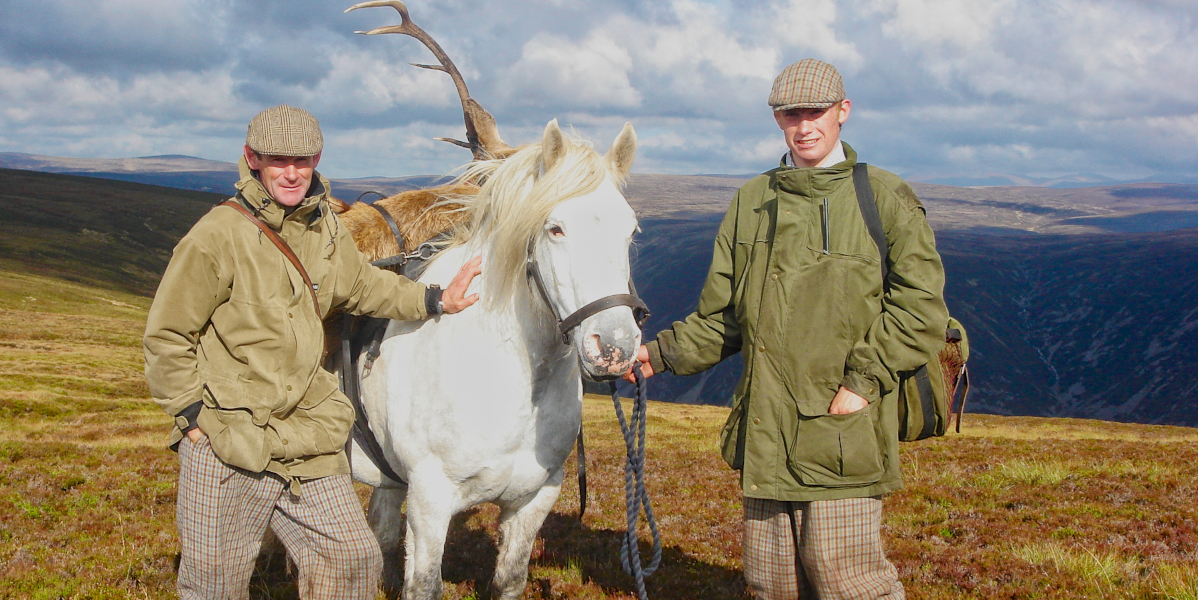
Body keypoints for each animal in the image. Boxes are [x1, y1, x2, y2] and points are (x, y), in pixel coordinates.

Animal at [346, 119, 643, 600]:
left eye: (630, 231)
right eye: (555, 229)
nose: (614, 347)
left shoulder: (535, 499)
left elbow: (509, 579)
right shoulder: (429, 501)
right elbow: (425, 585)